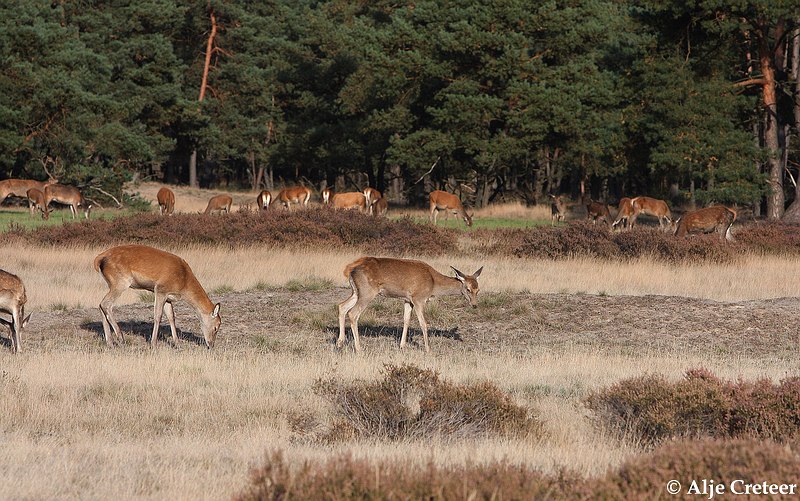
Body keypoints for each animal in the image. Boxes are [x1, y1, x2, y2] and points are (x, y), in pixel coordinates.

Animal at [94, 243, 222, 348]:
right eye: (216, 327)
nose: (211, 345)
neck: (184, 282)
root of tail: (99, 258)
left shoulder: (169, 298)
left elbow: (171, 317)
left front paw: (177, 344)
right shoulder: (160, 290)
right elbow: (158, 315)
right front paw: (154, 344)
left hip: (111, 284)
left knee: (101, 305)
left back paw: (110, 342)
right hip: (120, 283)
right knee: (105, 304)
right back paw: (121, 338)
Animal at [336, 258, 482, 352]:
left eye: (478, 289)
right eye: (468, 289)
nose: (475, 305)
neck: (433, 284)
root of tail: (350, 271)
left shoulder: (408, 300)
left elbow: (406, 320)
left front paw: (402, 346)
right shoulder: (418, 298)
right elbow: (423, 323)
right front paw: (428, 349)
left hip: (356, 292)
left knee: (342, 306)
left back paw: (340, 342)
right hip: (367, 292)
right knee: (353, 313)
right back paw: (358, 348)